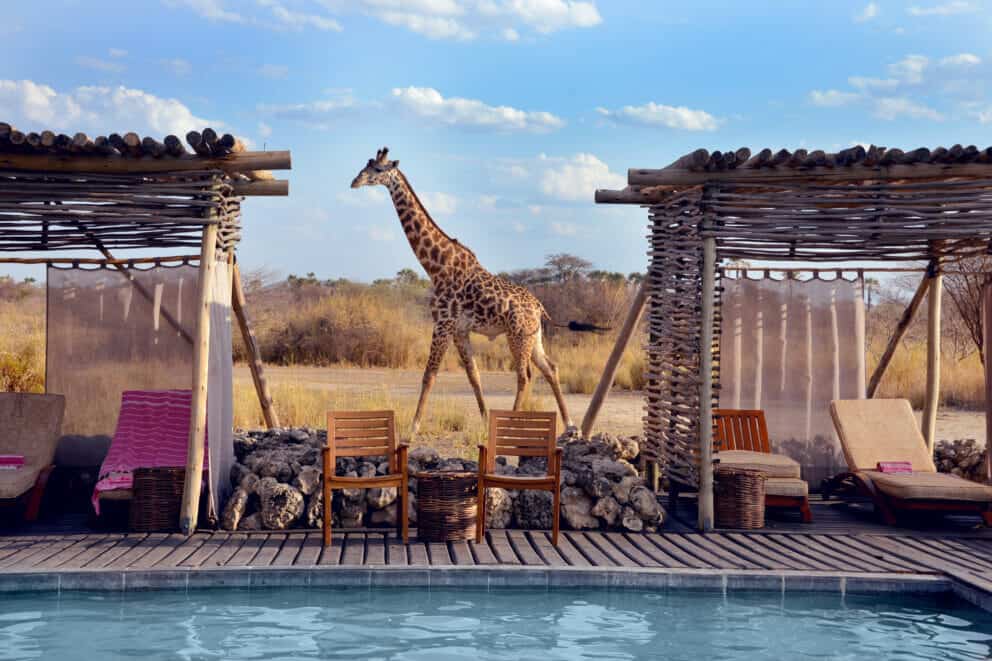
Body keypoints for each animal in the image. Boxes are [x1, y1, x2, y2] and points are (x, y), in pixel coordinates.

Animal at [351, 147, 573, 437]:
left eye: (377, 169)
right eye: (366, 165)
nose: (354, 181)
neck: (437, 266)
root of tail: (539, 307)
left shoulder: (442, 324)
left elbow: (429, 375)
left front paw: (413, 428)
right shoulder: (459, 330)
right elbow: (473, 375)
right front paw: (485, 421)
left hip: (517, 335)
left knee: (525, 376)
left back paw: (512, 425)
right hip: (533, 336)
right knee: (551, 369)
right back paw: (570, 426)